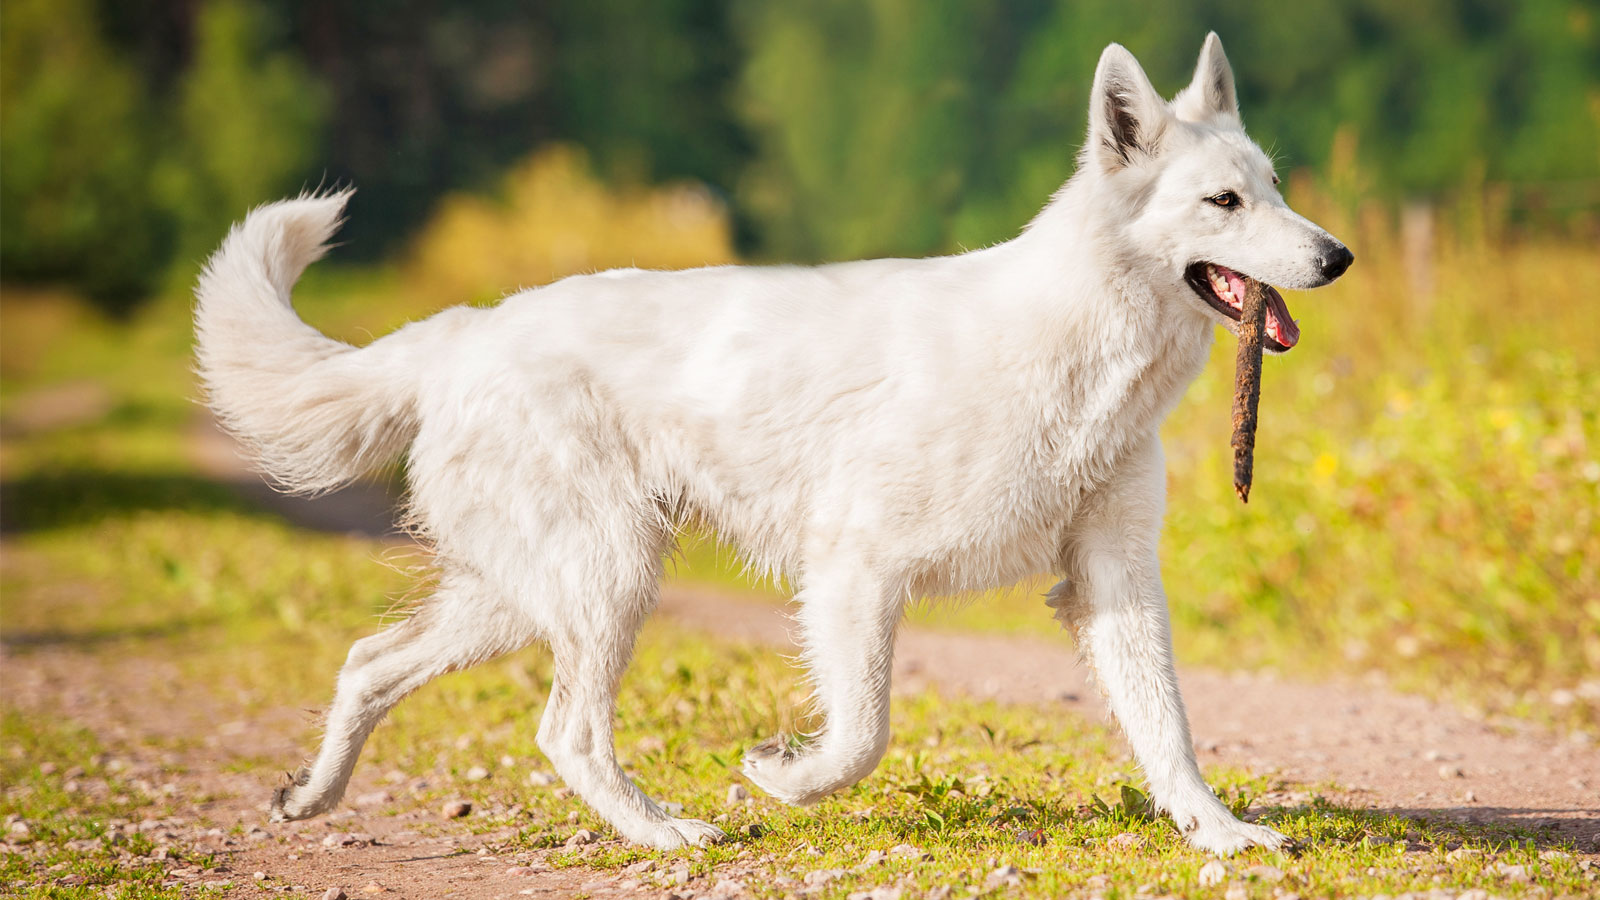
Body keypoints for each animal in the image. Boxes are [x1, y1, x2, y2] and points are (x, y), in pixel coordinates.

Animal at [196, 31, 1350, 851]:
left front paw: (1220, 835)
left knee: (369, 663)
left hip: (527, 592)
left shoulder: (1113, 583)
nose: (1336, 258)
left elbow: (1169, 727)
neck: (1076, 345)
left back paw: (311, 798)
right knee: (564, 731)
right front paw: (782, 778)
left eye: (1277, 188)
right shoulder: (855, 572)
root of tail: (465, 333)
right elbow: (863, 733)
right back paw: (664, 834)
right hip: (606, 581)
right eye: (1223, 201)